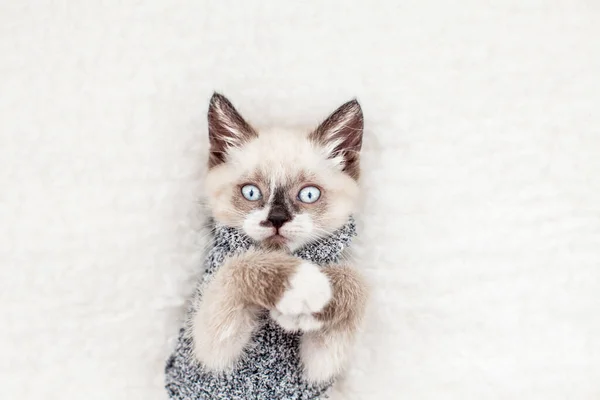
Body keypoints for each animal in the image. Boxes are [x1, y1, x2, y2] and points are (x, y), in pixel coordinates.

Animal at [195, 92, 368, 382]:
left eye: (309, 194)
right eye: (251, 192)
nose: (276, 219)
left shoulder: (318, 365)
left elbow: (356, 280)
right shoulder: (212, 353)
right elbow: (240, 264)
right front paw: (300, 283)